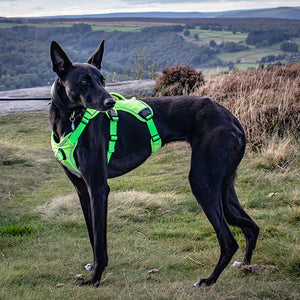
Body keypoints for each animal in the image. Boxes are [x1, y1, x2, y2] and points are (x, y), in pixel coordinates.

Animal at [49, 39, 260, 286]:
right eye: (84, 81)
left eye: (102, 79)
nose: (110, 103)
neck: (70, 119)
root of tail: (233, 119)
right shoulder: (83, 189)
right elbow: (93, 235)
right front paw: (94, 267)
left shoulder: (99, 188)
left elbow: (100, 240)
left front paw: (95, 278)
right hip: (224, 186)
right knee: (252, 227)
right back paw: (245, 264)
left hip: (202, 182)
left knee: (228, 241)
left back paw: (209, 280)